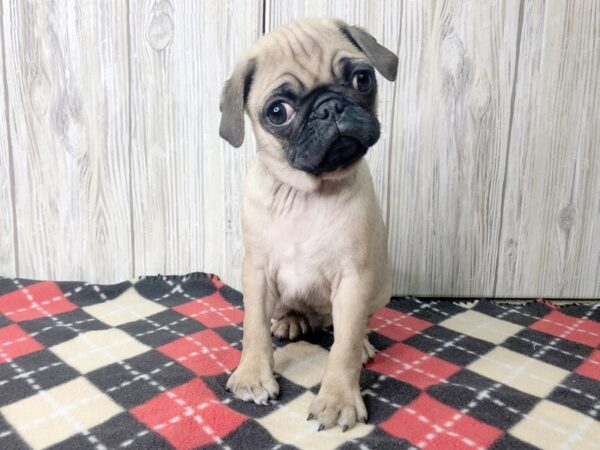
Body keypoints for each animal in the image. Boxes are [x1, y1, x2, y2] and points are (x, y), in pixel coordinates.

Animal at [218, 17, 396, 430]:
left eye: (362, 79)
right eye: (277, 111)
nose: (330, 106)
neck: (306, 194)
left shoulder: (354, 279)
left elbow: (344, 346)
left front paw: (338, 399)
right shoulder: (256, 272)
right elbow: (253, 328)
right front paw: (252, 375)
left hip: (379, 287)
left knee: (355, 325)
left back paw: (363, 343)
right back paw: (290, 321)